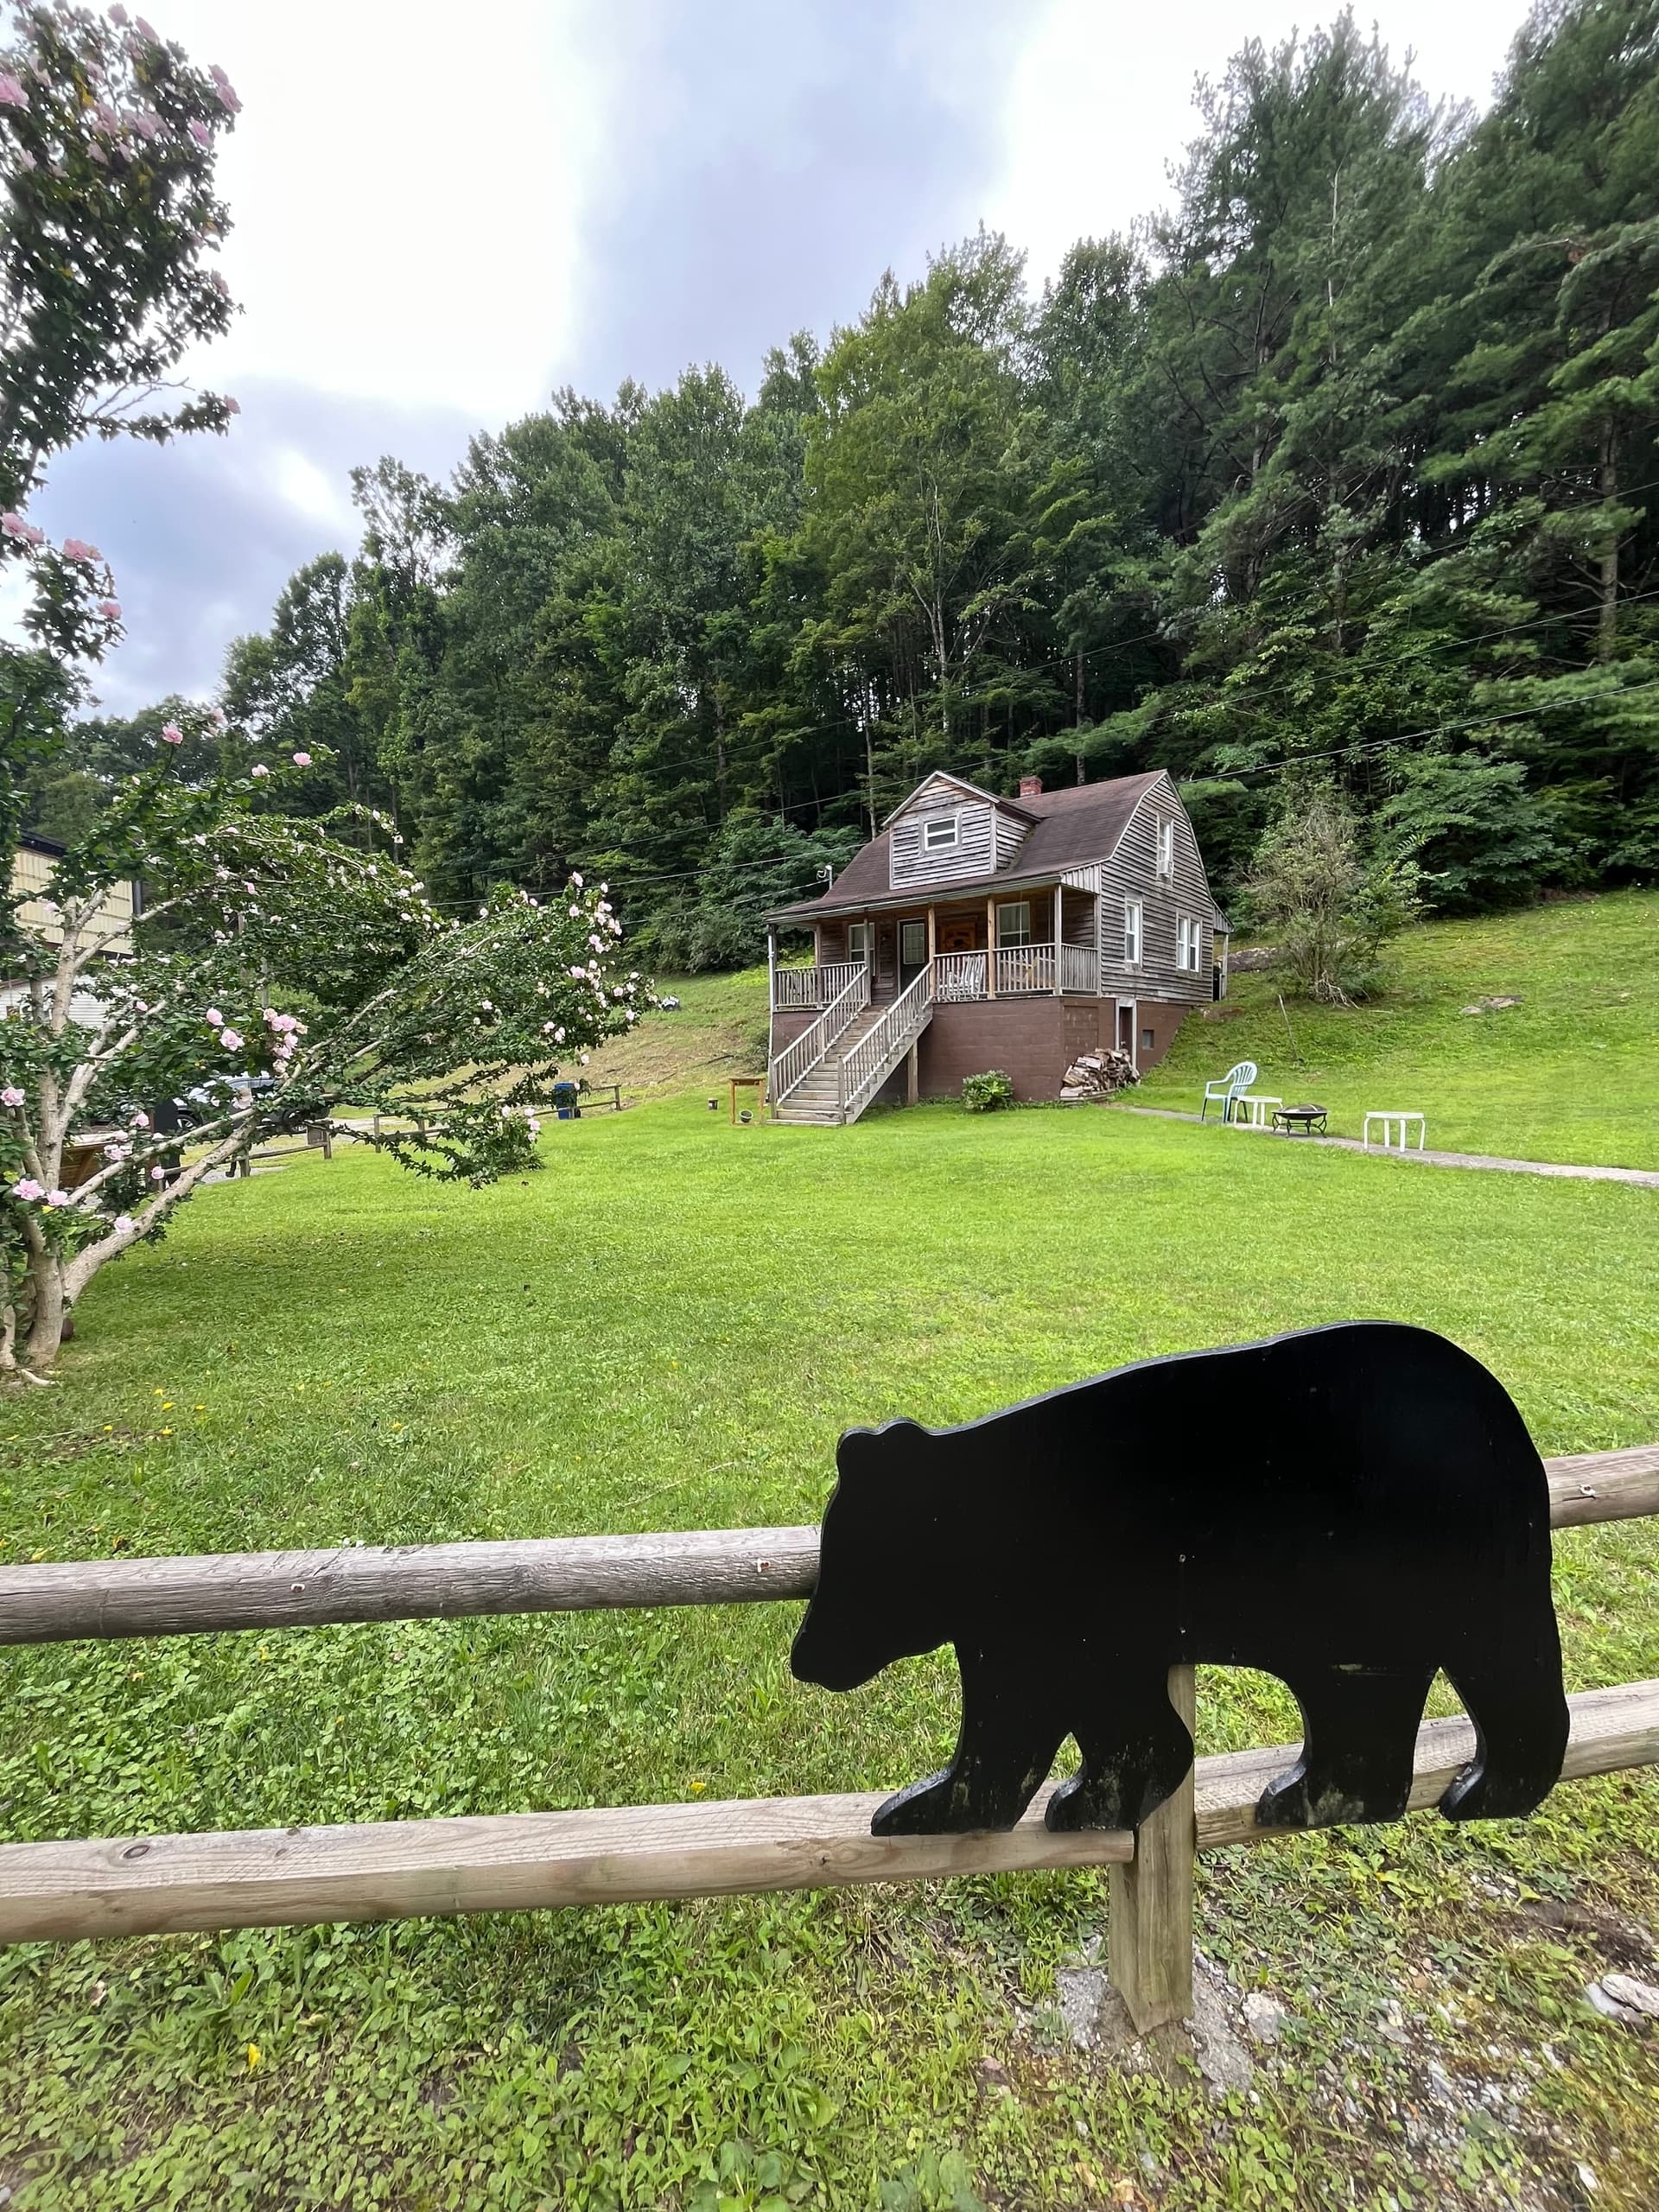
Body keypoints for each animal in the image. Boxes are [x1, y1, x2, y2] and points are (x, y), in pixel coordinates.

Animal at [790, 1322, 1568, 1838]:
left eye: (852, 1564)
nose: (805, 1659)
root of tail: (1513, 1440)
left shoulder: (1048, 1608)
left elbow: (1015, 1716)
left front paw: (930, 1809)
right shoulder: (1085, 1624)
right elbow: (1128, 1725)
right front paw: (1091, 1802)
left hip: (1380, 1583)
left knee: (1384, 1691)